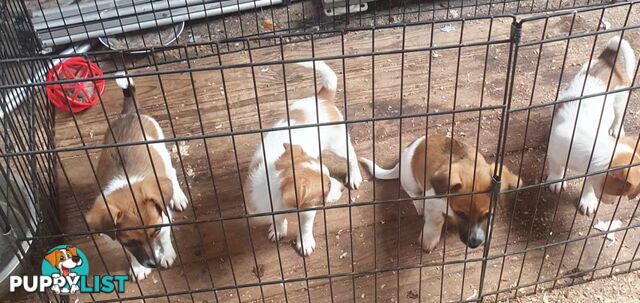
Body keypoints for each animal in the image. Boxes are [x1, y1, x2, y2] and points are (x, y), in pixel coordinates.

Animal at [84, 75, 188, 282]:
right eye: (130, 242)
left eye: (155, 231)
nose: (153, 263)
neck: (126, 185)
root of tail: (130, 114)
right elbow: (129, 253)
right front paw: (138, 267)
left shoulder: (163, 218)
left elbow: (165, 237)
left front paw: (167, 254)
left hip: (162, 151)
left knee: (172, 173)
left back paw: (178, 197)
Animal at [245, 61, 362, 256]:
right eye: (327, 186)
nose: (341, 189)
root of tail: (321, 97)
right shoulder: (267, 209)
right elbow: (277, 220)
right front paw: (278, 230)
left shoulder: (309, 210)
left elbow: (305, 227)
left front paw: (305, 242)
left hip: (338, 144)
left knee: (352, 156)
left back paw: (354, 176)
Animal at [360, 137, 520, 253]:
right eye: (460, 213)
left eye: (487, 214)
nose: (474, 244)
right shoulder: (433, 204)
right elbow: (436, 221)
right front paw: (429, 239)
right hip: (410, 180)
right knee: (412, 193)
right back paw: (419, 205)